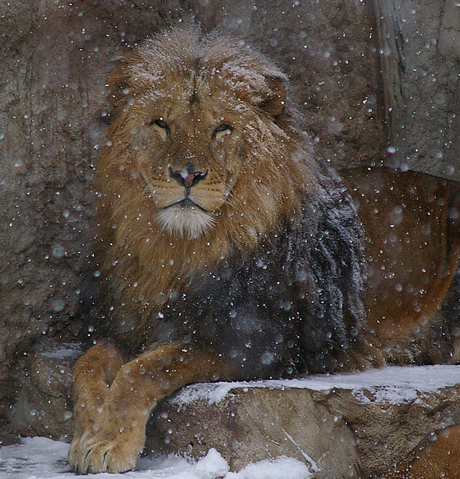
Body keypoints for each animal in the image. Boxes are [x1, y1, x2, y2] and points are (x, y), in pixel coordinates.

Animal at [68, 26, 460, 476]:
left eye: (222, 128)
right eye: (161, 124)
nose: (186, 174)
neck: (180, 249)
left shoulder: (258, 341)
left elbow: (147, 368)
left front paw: (110, 441)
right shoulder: (127, 325)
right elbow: (86, 365)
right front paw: (89, 431)